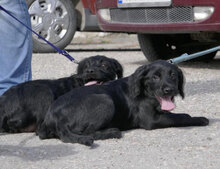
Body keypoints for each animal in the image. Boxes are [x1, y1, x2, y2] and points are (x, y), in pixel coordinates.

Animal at [38, 60, 210, 146]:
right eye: (155, 77)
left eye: (173, 75)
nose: (169, 90)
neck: (145, 92)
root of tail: (52, 117)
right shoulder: (151, 120)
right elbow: (181, 116)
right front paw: (200, 119)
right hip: (105, 100)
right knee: (79, 133)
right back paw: (112, 132)